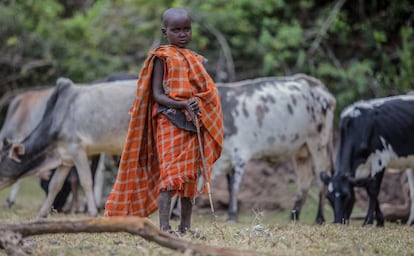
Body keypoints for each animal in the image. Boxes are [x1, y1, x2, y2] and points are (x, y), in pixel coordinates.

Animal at [0, 77, 134, 217]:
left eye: (1, 162)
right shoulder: (66, 158)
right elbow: (54, 185)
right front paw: (42, 213)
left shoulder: (78, 149)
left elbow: (86, 181)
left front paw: (92, 212)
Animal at [213, 74, 336, 222]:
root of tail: (320, 87)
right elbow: (229, 187)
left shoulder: (240, 155)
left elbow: (234, 187)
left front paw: (231, 216)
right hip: (301, 149)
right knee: (305, 180)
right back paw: (293, 216)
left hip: (319, 143)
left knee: (322, 177)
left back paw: (319, 218)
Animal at [322, 95, 414, 226]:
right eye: (329, 197)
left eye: (347, 196)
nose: (338, 222)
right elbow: (367, 187)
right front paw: (380, 221)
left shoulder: (380, 159)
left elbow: (373, 189)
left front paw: (368, 221)